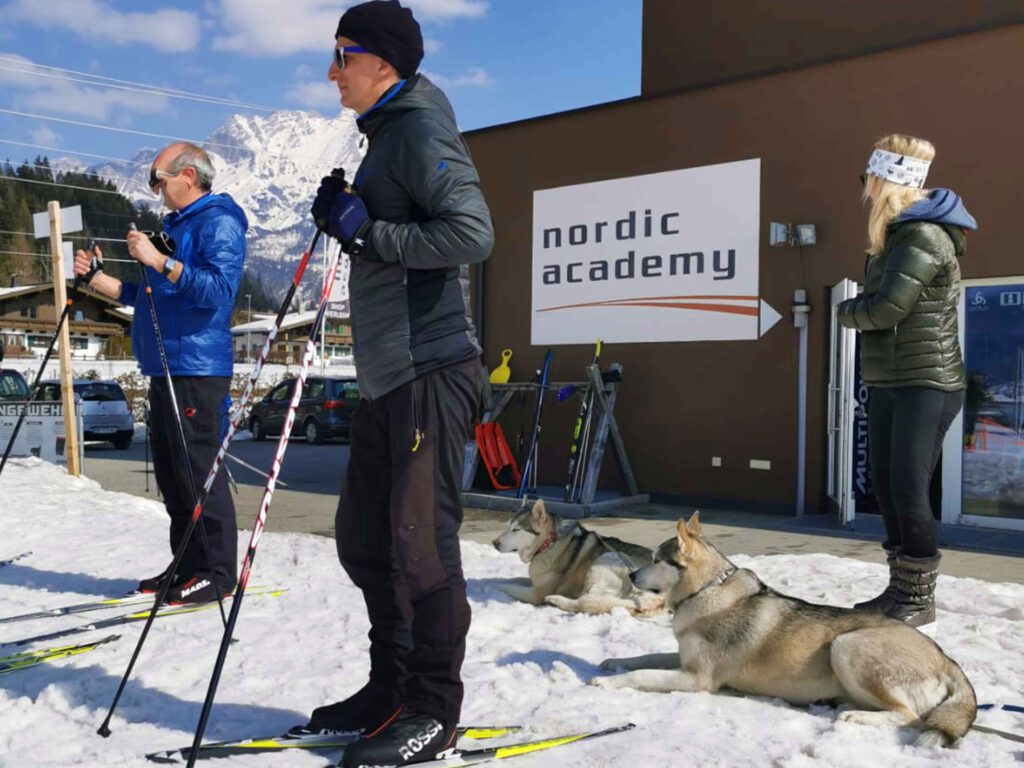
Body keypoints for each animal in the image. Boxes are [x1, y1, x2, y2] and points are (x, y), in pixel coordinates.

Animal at [489, 499, 663, 618]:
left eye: (516, 530)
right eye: (507, 527)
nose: (494, 542)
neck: (548, 544)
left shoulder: (536, 594)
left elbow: (506, 585)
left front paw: (490, 585)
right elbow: (515, 580)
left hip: (604, 560)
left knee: (585, 601)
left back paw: (556, 600)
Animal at [598, 514, 978, 749]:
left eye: (656, 560)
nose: (631, 575)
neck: (706, 591)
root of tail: (948, 660)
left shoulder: (697, 679)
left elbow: (642, 675)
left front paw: (606, 682)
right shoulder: (683, 659)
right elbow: (645, 657)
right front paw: (611, 663)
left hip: (846, 644)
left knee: (909, 716)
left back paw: (854, 714)